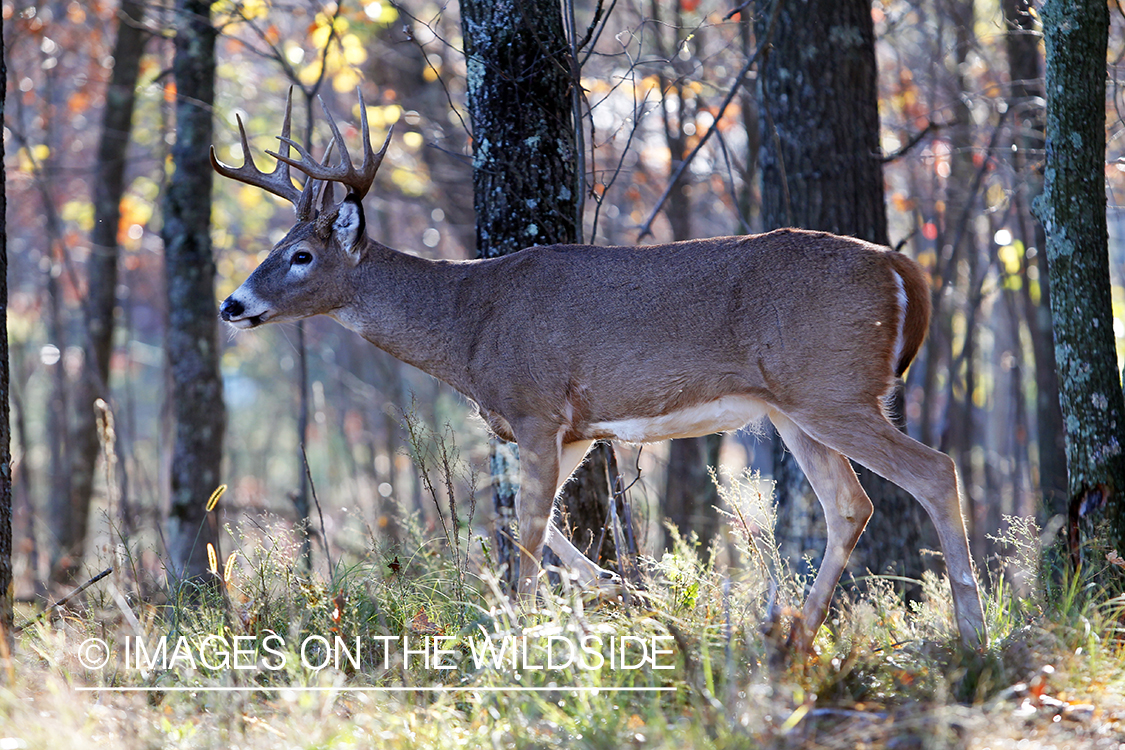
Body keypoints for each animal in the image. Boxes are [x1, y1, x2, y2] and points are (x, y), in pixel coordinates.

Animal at [209, 86, 985, 652]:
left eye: (300, 255)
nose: (231, 303)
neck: (467, 324)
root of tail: (900, 268)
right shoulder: (577, 425)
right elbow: (524, 518)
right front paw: (620, 590)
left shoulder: (534, 407)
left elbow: (523, 532)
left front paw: (514, 638)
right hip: (792, 406)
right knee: (849, 504)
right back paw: (795, 634)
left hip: (832, 388)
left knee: (933, 470)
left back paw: (973, 635)